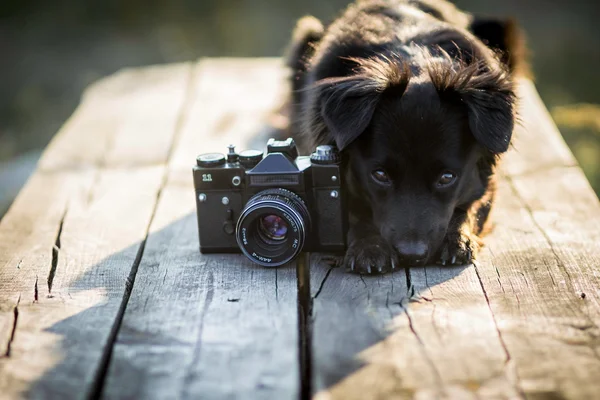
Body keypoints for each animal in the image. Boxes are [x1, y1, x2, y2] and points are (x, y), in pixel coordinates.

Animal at [286, 0, 524, 274]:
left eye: (447, 177)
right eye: (380, 175)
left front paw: (459, 238)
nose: (411, 255)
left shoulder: (487, 182)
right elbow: (351, 211)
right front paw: (369, 246)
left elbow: (472, 205)